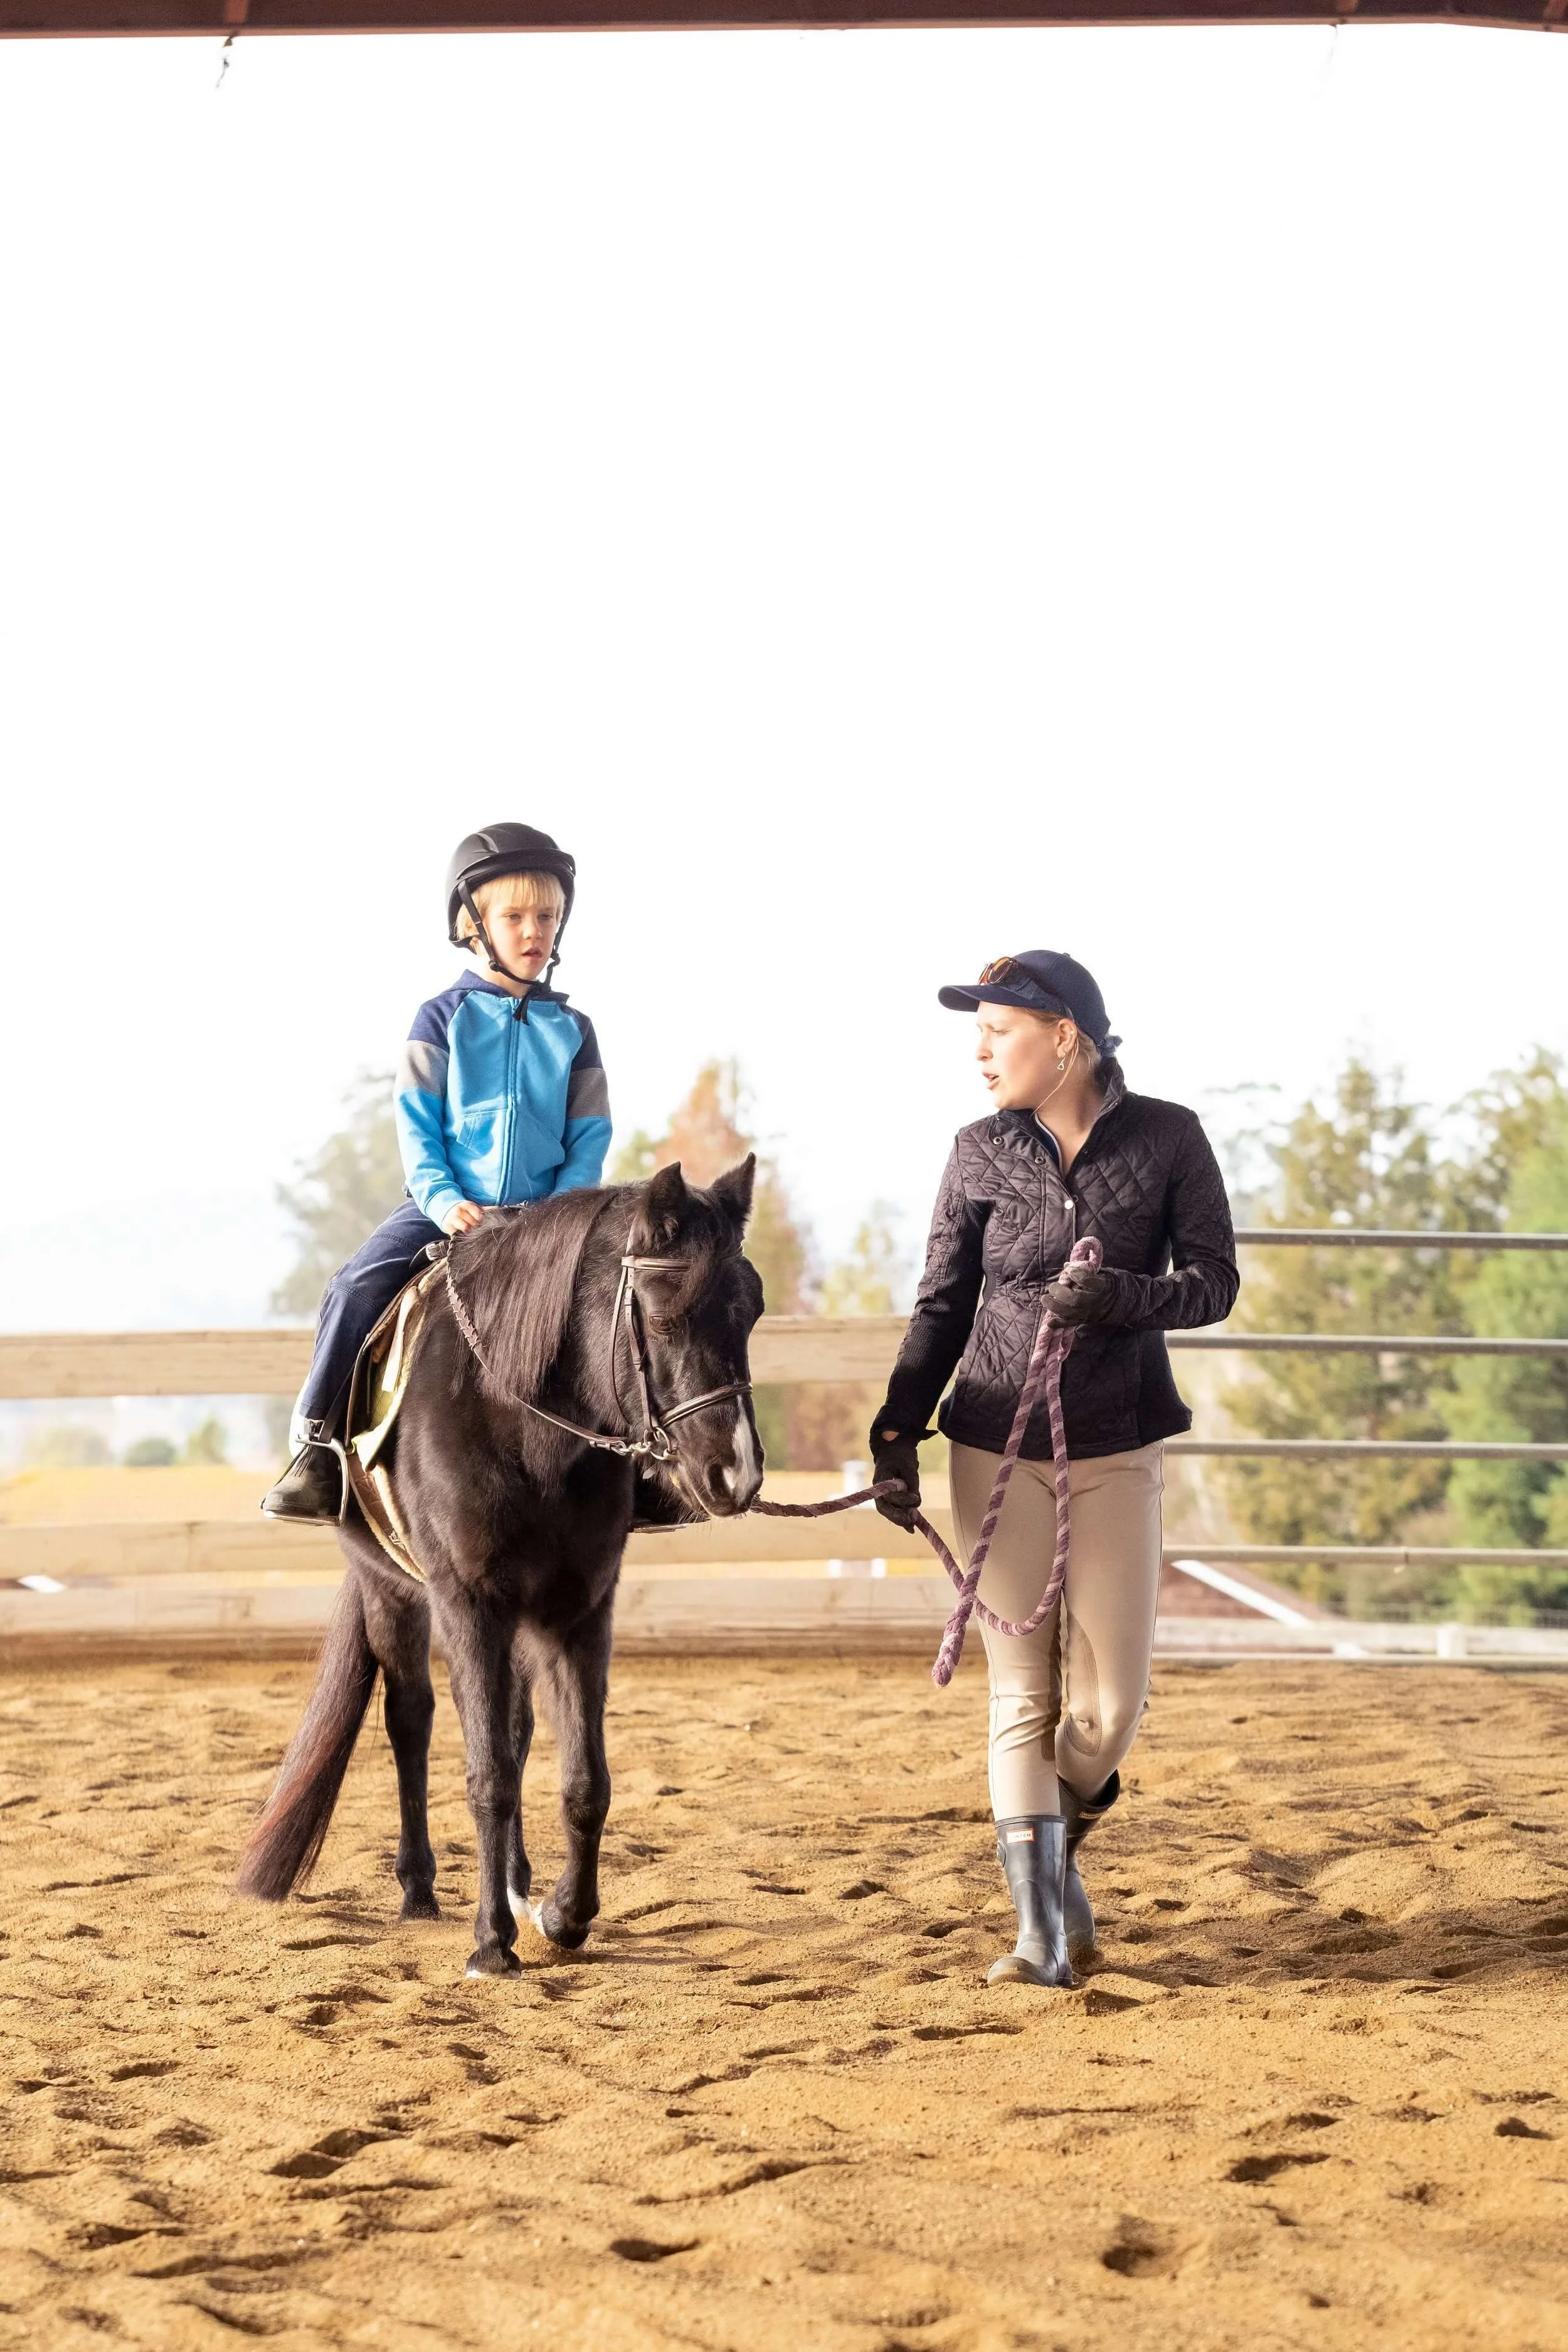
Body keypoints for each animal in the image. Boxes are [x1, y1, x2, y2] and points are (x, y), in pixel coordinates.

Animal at [236, 1157, 764, 1978]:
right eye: (663, 1314)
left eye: (752, 1312)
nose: (734, 1475)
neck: (518, 1424)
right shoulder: (468, 1603)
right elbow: (486, 1776)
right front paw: (491, 1941)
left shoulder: (580, 1608)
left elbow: (581, 1780)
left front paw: (563, 1914)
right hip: (392, 1593)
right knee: (411, 1722)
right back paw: (420, 1889)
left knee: (514, 1730)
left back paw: (515, 1881)